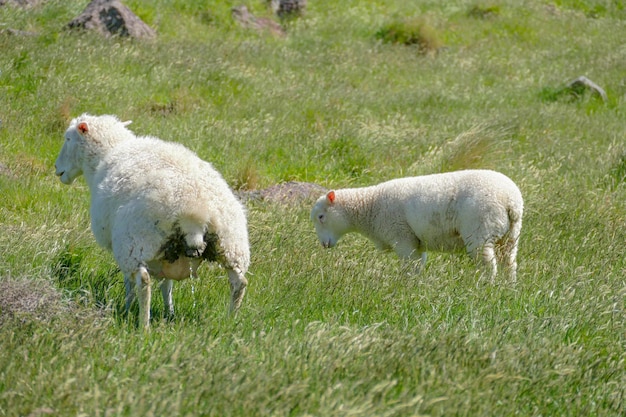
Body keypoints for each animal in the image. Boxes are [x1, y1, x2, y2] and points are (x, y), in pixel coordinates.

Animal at [53, 114, 249, 328]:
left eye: (68, 138)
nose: (56, 168)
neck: (109, 152)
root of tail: (195, 212)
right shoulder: (168, 254)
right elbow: (167, 284)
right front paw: (169, 312)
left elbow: (130, 283)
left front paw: (127, 306)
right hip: (232, 246)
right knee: (239, 283)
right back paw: (230, 322)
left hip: (133, 243)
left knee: (144, 280)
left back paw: (143, 325)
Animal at [308, 168, 520, 280]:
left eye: (321, 217)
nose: (324, 245)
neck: (370, 206)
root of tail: (510, 200)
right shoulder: (417, 242)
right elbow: (418, 266)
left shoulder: (403, 239)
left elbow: (409, 268)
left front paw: (405, 288)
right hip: (510, 236)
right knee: (509, 264)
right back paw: (508, 289)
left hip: (480, 232)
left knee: (489, 266)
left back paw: (485, 288)